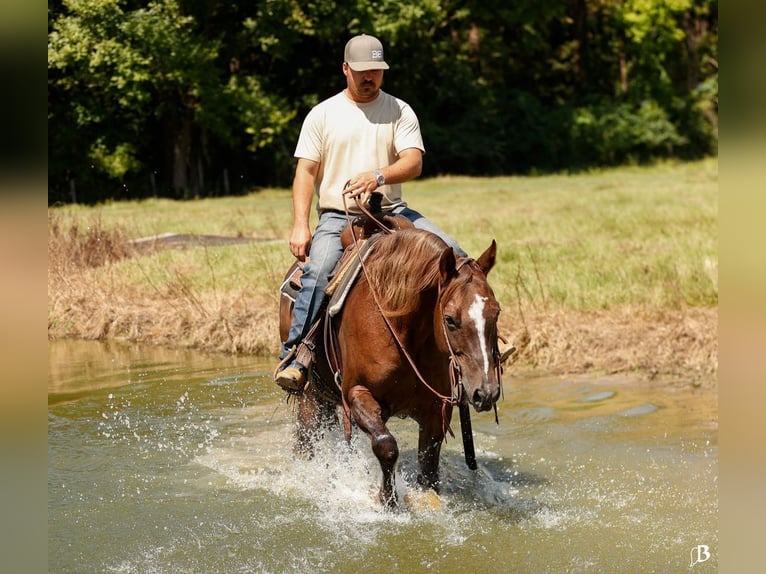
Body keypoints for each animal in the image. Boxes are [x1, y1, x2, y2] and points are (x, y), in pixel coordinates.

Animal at [279, 226, 505, 508]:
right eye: (450, 320)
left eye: (496, 312)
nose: (486, 392)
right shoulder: (357, 394)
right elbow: (386, 446)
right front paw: (387, 499)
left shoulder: (436, 409)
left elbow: (428, 464)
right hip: (310, 397)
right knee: (305, 442)